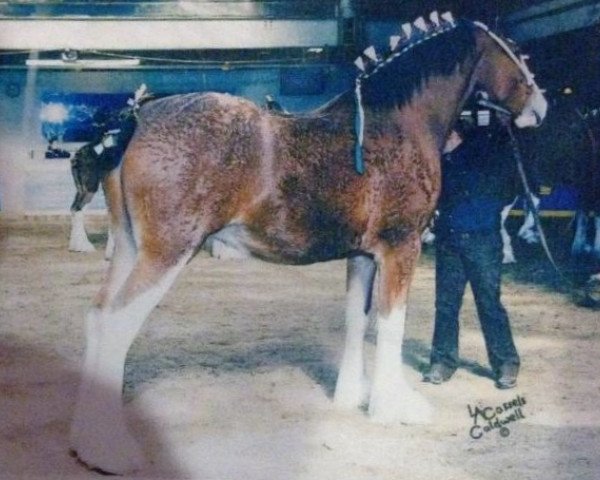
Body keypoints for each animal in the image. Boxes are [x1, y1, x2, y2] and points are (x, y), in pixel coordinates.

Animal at [68, 13, 548, 474]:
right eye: (515, 51)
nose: (541, 106)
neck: (398, 122)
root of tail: (135, 121)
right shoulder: (400, 247)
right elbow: (391, 324)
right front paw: (391, 407)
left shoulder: (363, 255)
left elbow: (358, 319)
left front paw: (350, 396)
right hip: (166, 254)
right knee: (115, 325)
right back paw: (110, 452)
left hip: (129, 248)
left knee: (95, 317)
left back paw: (85, 443)